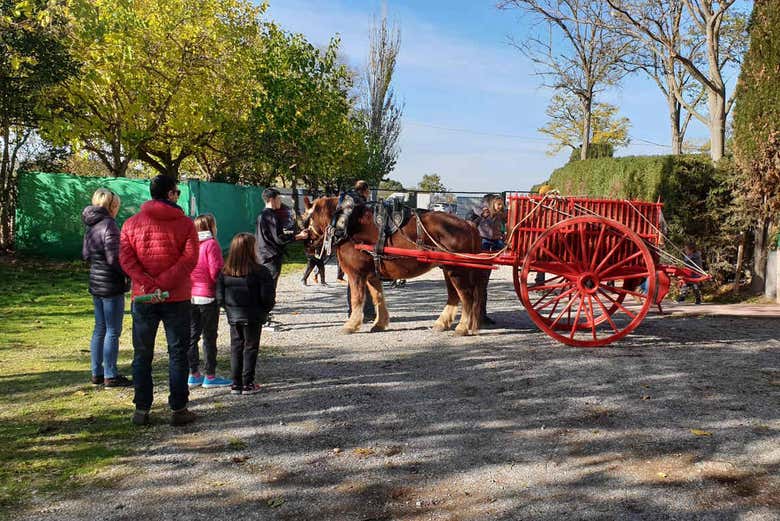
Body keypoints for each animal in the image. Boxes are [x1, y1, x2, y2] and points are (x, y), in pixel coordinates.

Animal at [302, 197, 484, 336]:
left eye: (307, 219)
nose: (307, 245)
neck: (348, 224)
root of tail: (468, 224)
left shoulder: (356, 274)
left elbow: (357, 299)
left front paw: (351, 325)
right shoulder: (372, 275)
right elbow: (378, 298)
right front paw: (379, 323)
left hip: (457, 271)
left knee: (467, 296)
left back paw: (462, 327)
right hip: (448, 269)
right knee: (454, 296)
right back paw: (442, 323)